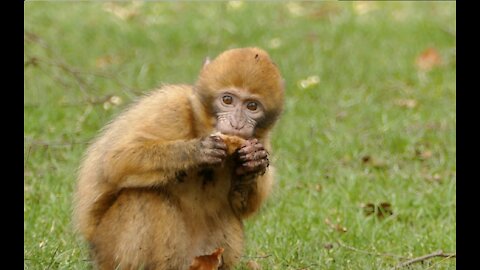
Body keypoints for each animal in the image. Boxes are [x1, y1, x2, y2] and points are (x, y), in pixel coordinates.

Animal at [72, 47, 284, 268]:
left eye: (252, 106)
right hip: (106, 248)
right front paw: (198, 151)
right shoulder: (171, 109)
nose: (237, 123)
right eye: (227, 100)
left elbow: (241, 206)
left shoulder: (263, 139)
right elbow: (116, 161)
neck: (200, 124)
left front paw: (253, 162)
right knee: (143, 196)